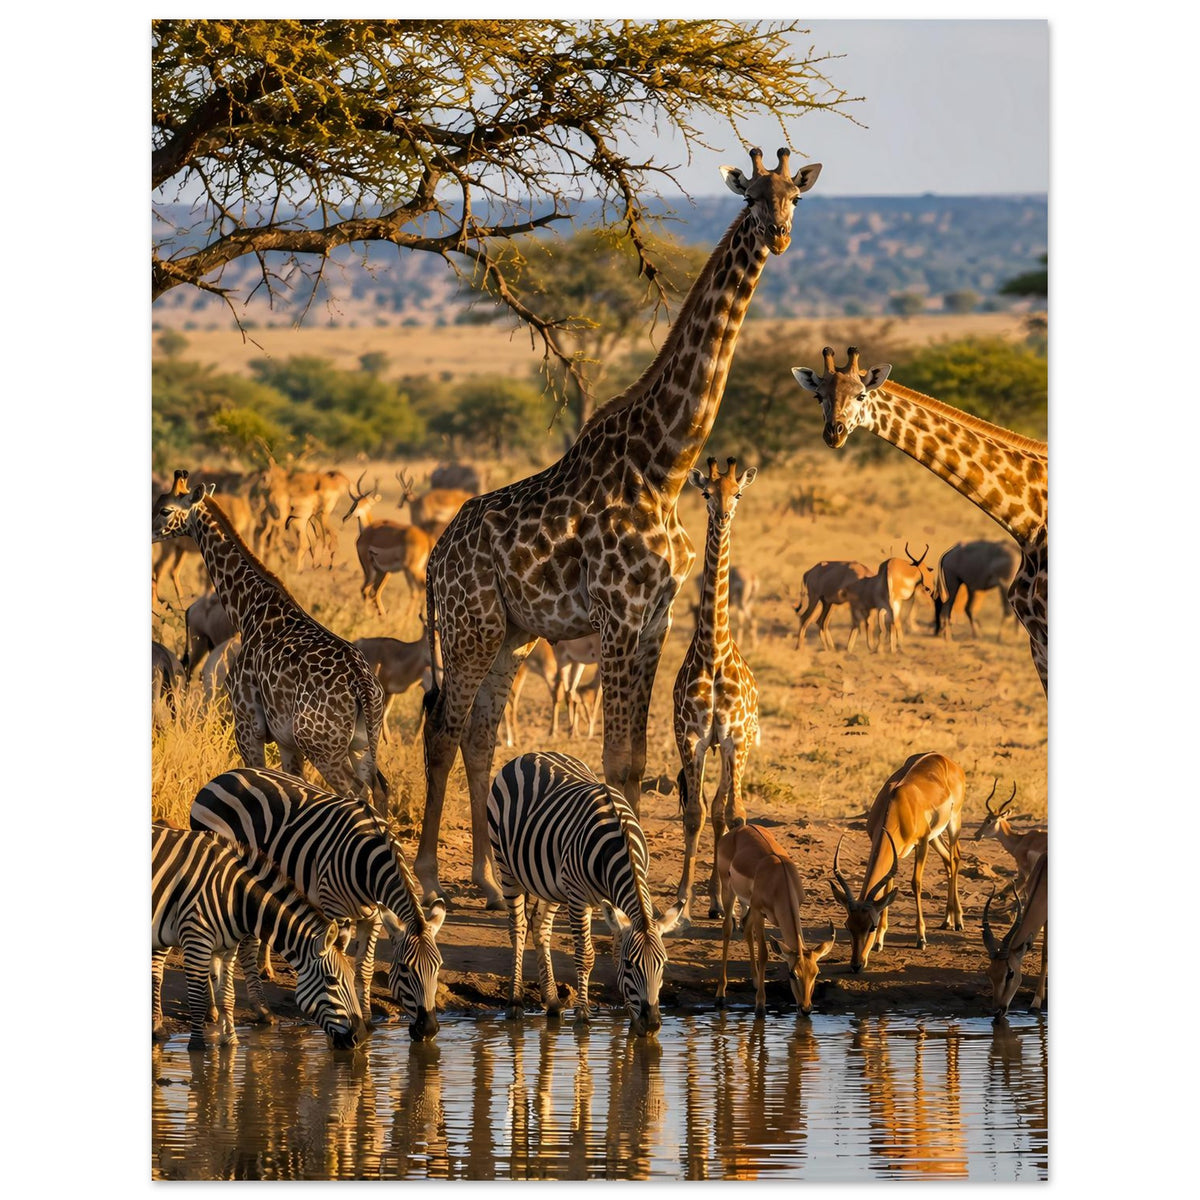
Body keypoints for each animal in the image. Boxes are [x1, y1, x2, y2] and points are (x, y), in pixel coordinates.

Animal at [152, 824, 363, 1052]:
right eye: (331, 981)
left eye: (352, 978)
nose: (358, 1038)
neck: (236, 896)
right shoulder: (196, 938)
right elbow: (198, 998)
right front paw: (198, 1047)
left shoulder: (225, 948)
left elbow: (227, 996)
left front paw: (231, 1043)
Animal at [189, 767, 446, 1041]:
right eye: (405, 969)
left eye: (438, 967)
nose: (429, 1030)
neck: (370, 861)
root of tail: (223, 775)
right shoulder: (336, 910)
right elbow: (341, 961)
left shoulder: (374, 916)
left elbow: (365, 969)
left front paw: (366, 1018)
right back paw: (249, 1010)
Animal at [487, 751, 683, 1037]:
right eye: (631, 965)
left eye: (663, 964)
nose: (652, 1025)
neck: (619, 844)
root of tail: (530, 754)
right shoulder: (579, 898)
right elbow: (586, 955)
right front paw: (582, 1015)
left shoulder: (614, 903)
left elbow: (614, 951)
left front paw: (629, 1016)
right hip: (506, 865)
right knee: (518, 928)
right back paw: (515, 1003)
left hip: (551, 884)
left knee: (540, 926)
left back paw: (553, 1001)